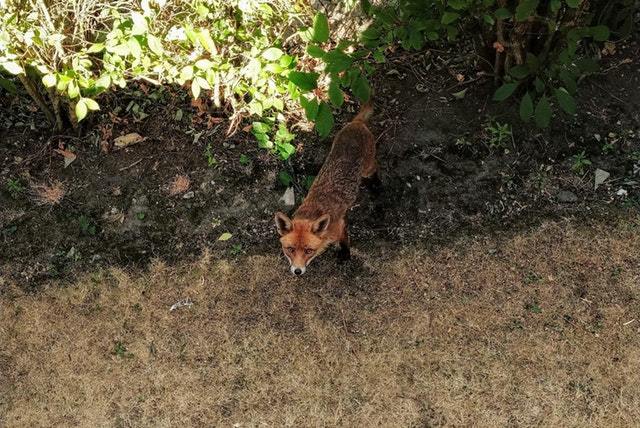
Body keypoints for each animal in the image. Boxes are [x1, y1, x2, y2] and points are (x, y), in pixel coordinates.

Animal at [276, 100, 380, 276]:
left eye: (308, 251)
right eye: (290, 249)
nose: (297, 271)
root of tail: (357, 124)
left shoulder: (340, 227)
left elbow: (345, 241)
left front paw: (345, 255)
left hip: (367, 168)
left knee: (376, 167)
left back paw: (377, 185)